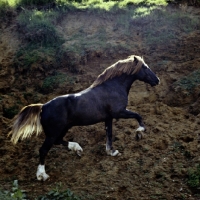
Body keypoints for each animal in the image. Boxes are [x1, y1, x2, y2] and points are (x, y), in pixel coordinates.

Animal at [9, 54, 159, 181]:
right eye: (145, 67)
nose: (157, 80)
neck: (113, 87)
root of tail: (43, 107)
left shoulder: (109, 118)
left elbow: (109, 134)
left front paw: (111, 151)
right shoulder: (119, 112)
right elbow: (138, 116)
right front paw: (139, 132)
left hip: (62, 129)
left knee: (58, 141)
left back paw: (77, 149)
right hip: (53, 133)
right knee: (43, 150)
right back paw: (42, 175)